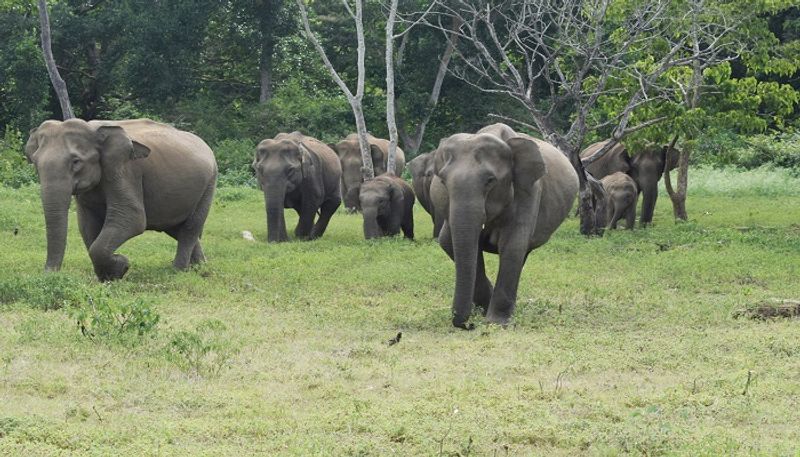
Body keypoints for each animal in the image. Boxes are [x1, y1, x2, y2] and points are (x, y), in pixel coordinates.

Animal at [25, 117, 219, 280]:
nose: (49, 274)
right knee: (177, 229)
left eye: (76, 162)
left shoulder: (123, 170)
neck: (93, 129)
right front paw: (109, 276)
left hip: (209, 184)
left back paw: (178, 270)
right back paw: (199, 267)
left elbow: (132, 218)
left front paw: (121, 267)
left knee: (190, 228)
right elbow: (87, 226)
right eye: (35, 163)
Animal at [434, 122, 580, 328]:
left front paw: (495, 321)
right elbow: (448, 242)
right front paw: (484, 308)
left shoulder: (529, 190)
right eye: (442, 181)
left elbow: (512, 245)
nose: (468, 325)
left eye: (490, 180)